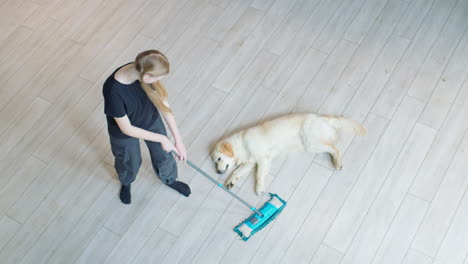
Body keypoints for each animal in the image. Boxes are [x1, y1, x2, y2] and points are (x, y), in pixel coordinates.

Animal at [211, 112, 366, 195]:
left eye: (218, 159)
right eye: (214, 161)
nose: (217, 172)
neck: (241, 144)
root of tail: (322, 118)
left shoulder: (262, 159)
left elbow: (259, 175)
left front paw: (259, 188)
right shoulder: (250, 162)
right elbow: (237, 172)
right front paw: (231, 181)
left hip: (310, 143)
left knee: (335, 148)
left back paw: (338, 163)